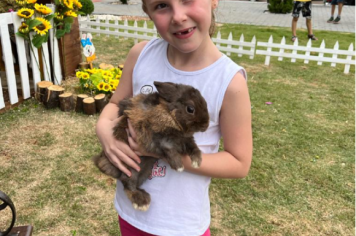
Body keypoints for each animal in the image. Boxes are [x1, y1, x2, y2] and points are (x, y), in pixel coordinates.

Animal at [92, 81, 209, 212]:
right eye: (190, 109)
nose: (205, 126)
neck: (169, 113)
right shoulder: (154, 137)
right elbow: (168, 148)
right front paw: (179, 166)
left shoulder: (186, 140)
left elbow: (194, 148)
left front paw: (197, 162)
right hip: (131, 170)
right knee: (128, 185)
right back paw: (141, 202)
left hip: (145, 171)